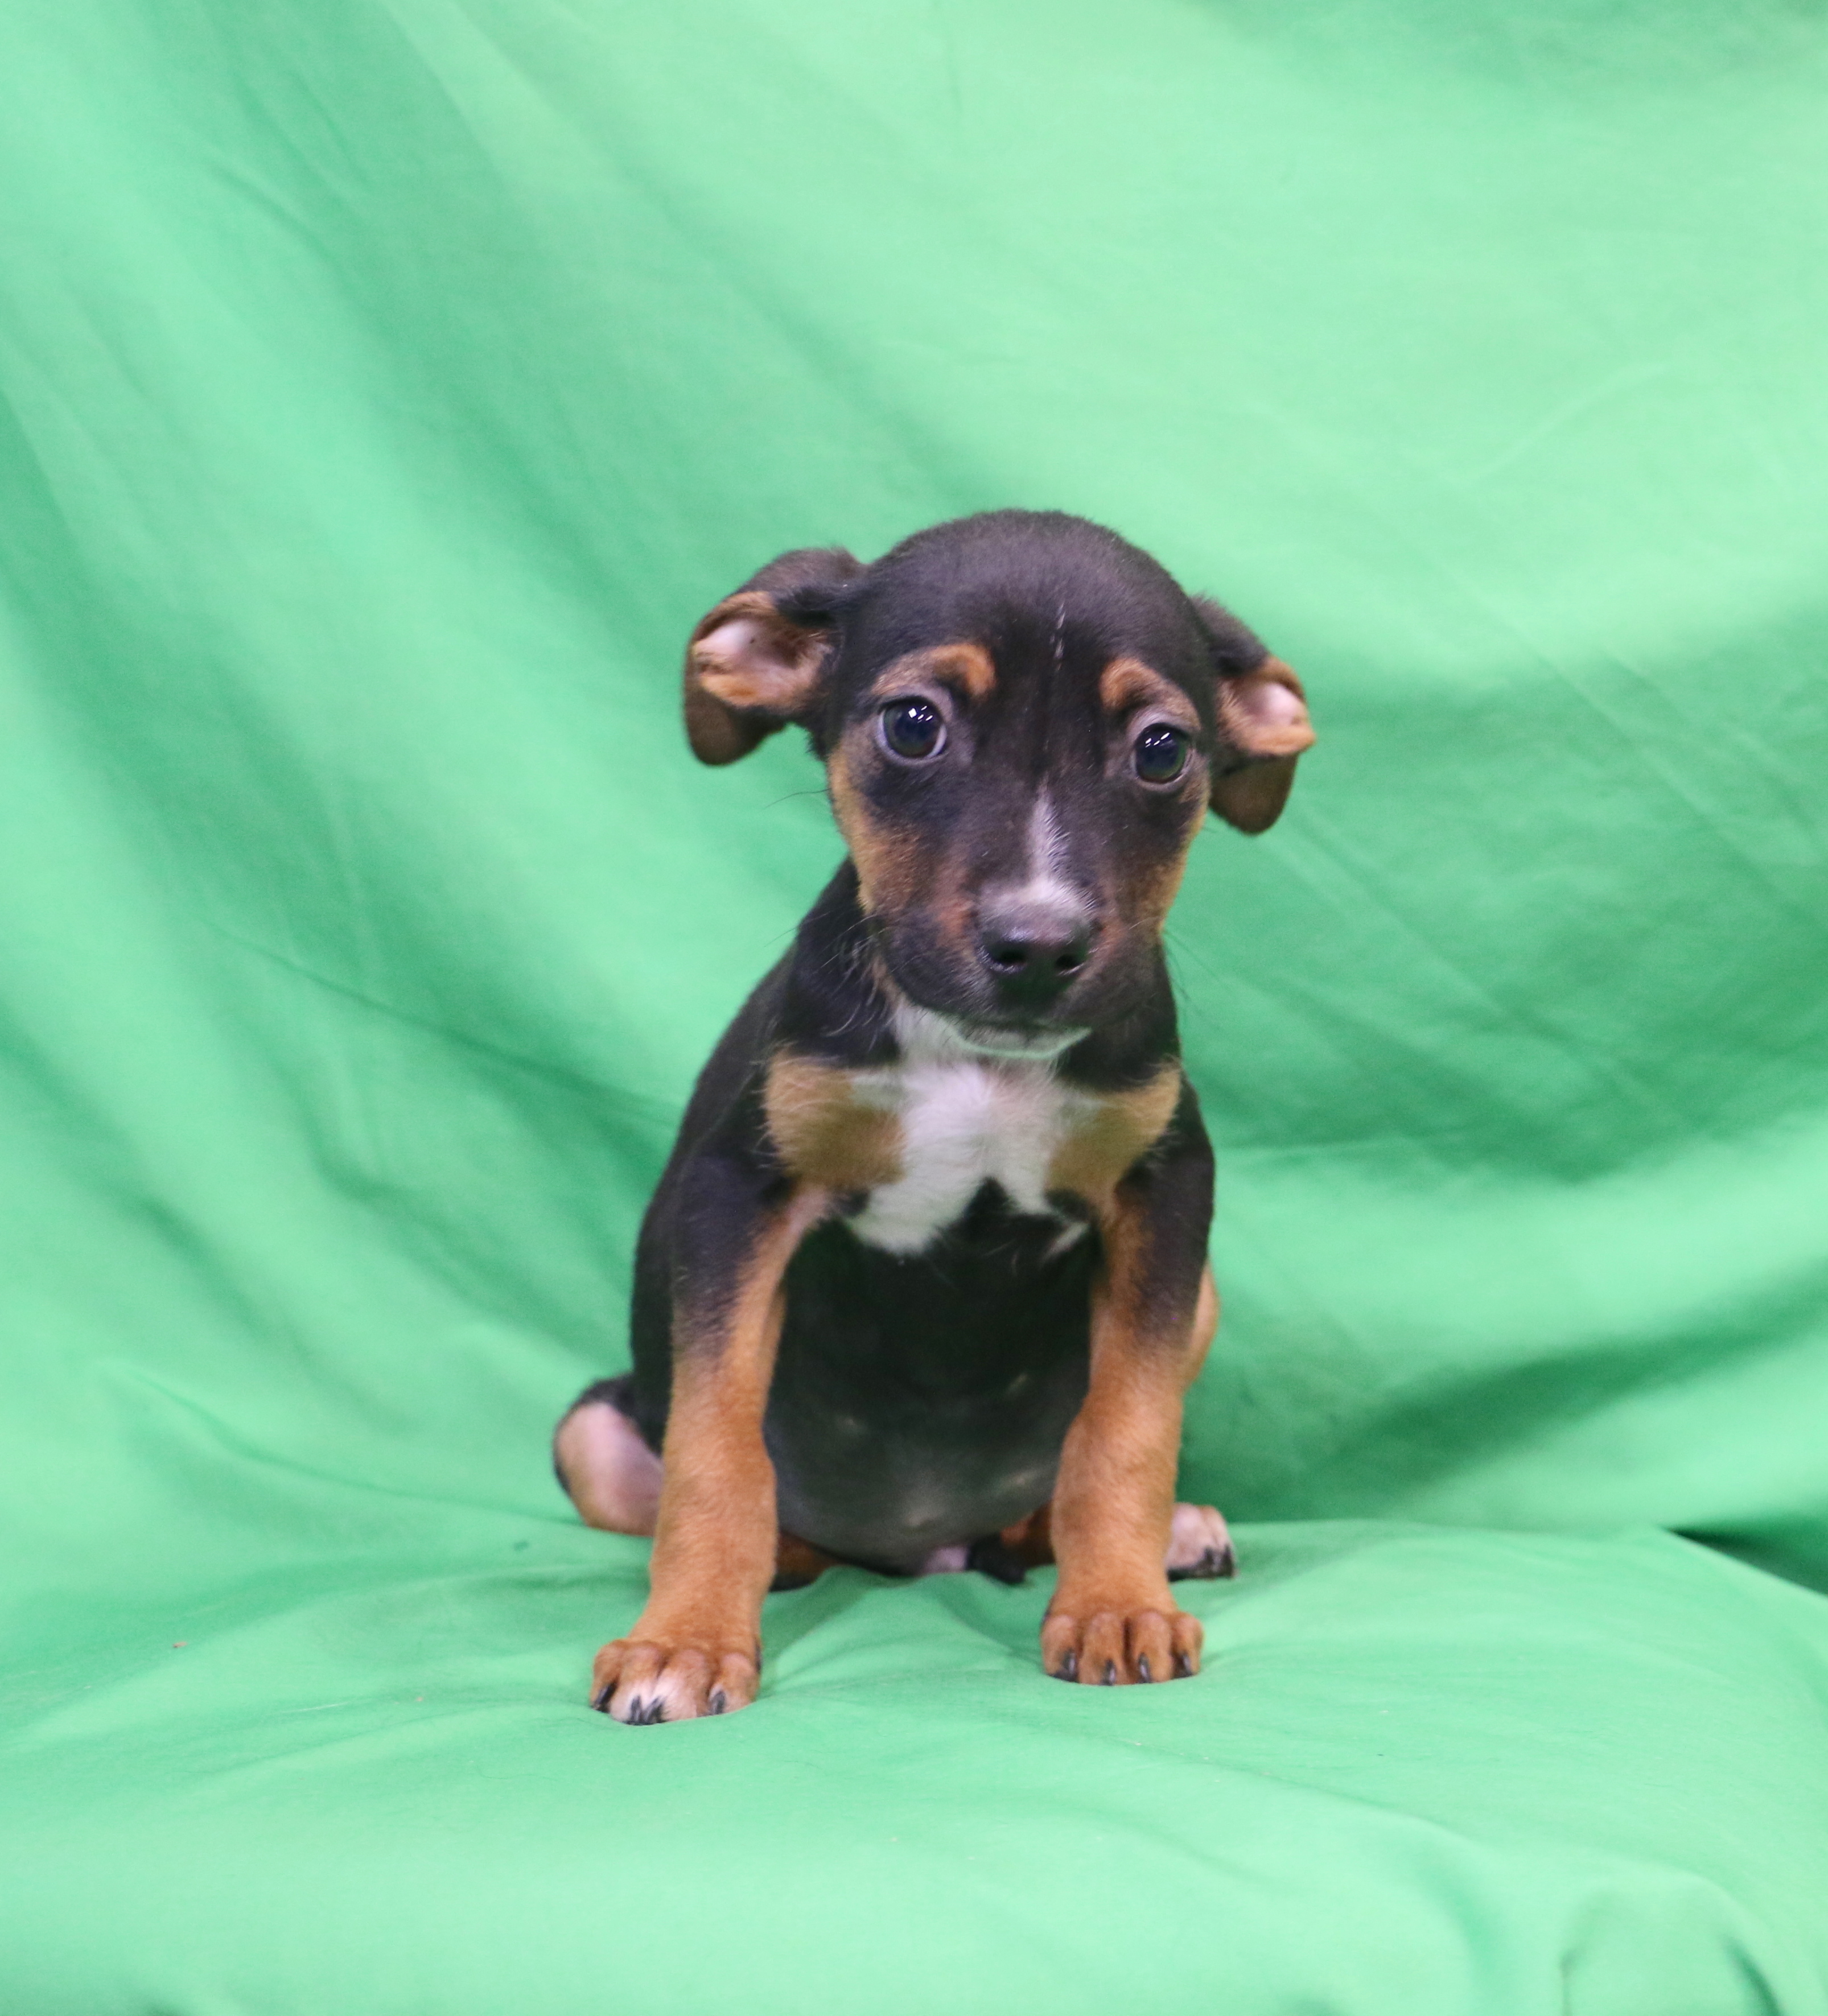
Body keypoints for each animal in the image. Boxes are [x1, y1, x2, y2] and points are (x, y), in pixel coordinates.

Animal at [556, 504, 1314, 1717]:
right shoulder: (738, 1195)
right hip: (590, 1432)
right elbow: (718, 1453)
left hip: (1197, 1297)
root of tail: (924, 1549)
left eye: (1161, 749)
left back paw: (1155, 1538)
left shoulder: (1165, 1192)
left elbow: (1125, 1432)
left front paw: (1117, 1606)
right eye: (913, 726)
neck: (978, 1061)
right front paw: (685, 1642)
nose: (1039, 946)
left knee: (1043, 1502)